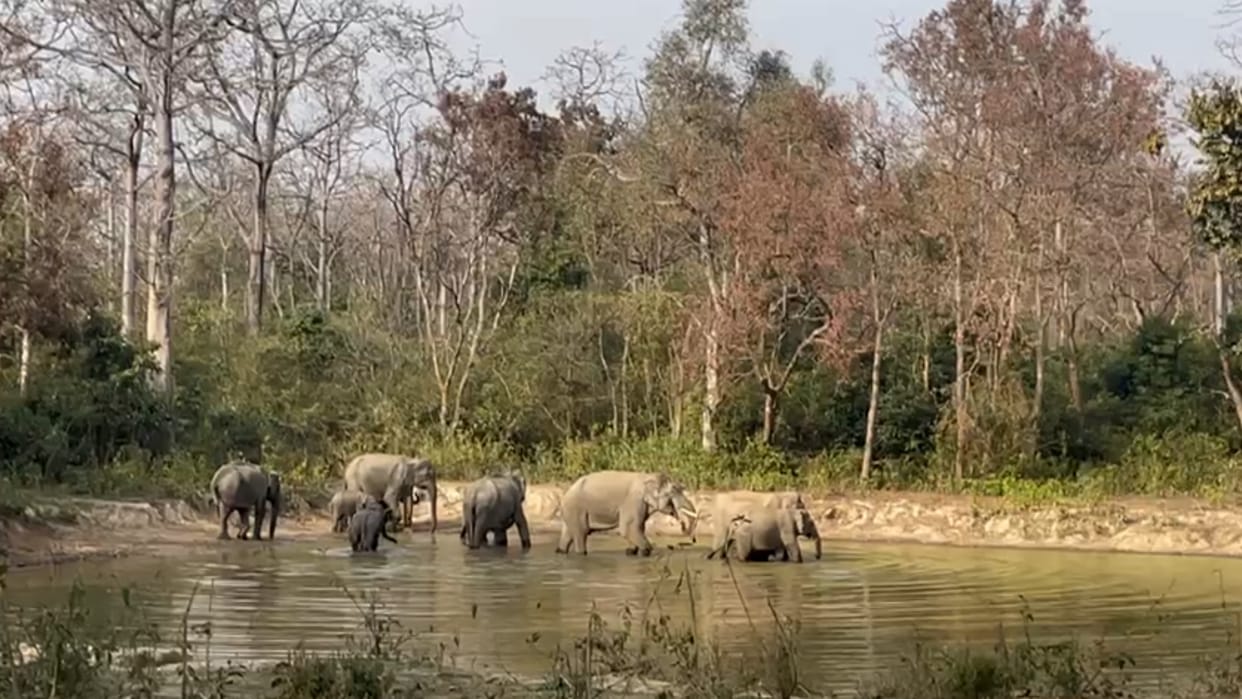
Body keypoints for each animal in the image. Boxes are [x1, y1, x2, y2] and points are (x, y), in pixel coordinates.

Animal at [555, 470, 698, 556]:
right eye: (673, 491)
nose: (693, 539)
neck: (648, 476)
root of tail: (566, 493)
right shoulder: (633, 501)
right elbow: (628, 528)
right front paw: (646, 551)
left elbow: (637, 528)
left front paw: (631, 551)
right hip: (576, 509)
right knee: (581, 533)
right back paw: (581, 553)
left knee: (568, 534)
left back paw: (560, 551)